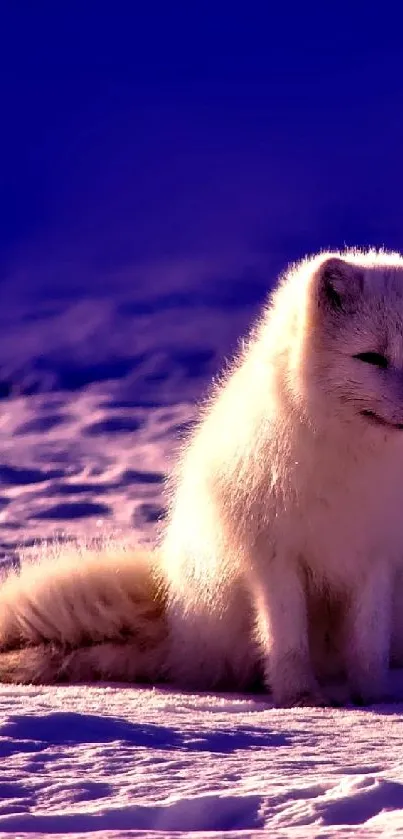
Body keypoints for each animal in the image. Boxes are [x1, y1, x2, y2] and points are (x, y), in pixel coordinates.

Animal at [0, 246, 403, 704]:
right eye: (371, 358)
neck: (352, 460)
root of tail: (175, 619)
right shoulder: (274, 556)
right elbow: (286, 638)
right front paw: (300, 698)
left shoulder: (376, 556)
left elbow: (368, 642)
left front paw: (375, 698)